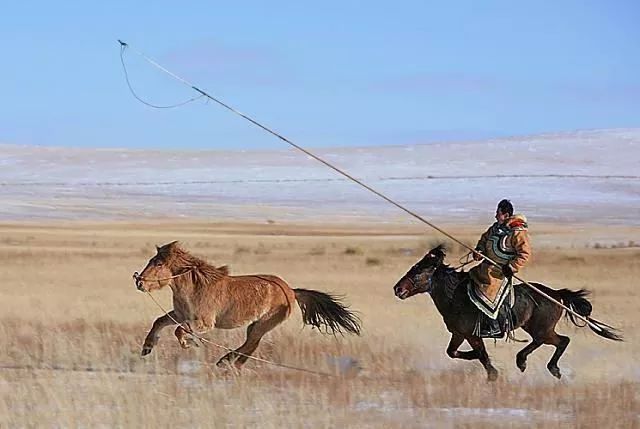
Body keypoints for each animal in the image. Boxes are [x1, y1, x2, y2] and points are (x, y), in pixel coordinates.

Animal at [133, 241, 360, 368]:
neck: (195, 286)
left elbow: (179, 331)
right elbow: (159, 322)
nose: (139, 282)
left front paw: (190, 343)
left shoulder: (203, 322)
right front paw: (147, 347)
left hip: (262, 324)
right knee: (250, 345)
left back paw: (226, 363)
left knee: (251, 345)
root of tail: (291, 291)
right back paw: (227, 362)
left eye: (158, 263)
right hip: (254, 325)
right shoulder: (181, 315)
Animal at [392, 246, 624, 380]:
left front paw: (493, 374)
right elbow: (453, 352)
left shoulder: (473, 335)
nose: (398, 289)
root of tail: (556, 294)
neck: (456, 297)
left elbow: (482, 356)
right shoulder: (459, 334)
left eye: (419, 271)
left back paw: (546, 367)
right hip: (534, 327)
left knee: (561, 341)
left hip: (542, 328)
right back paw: (524, 361)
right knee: (548, 341)